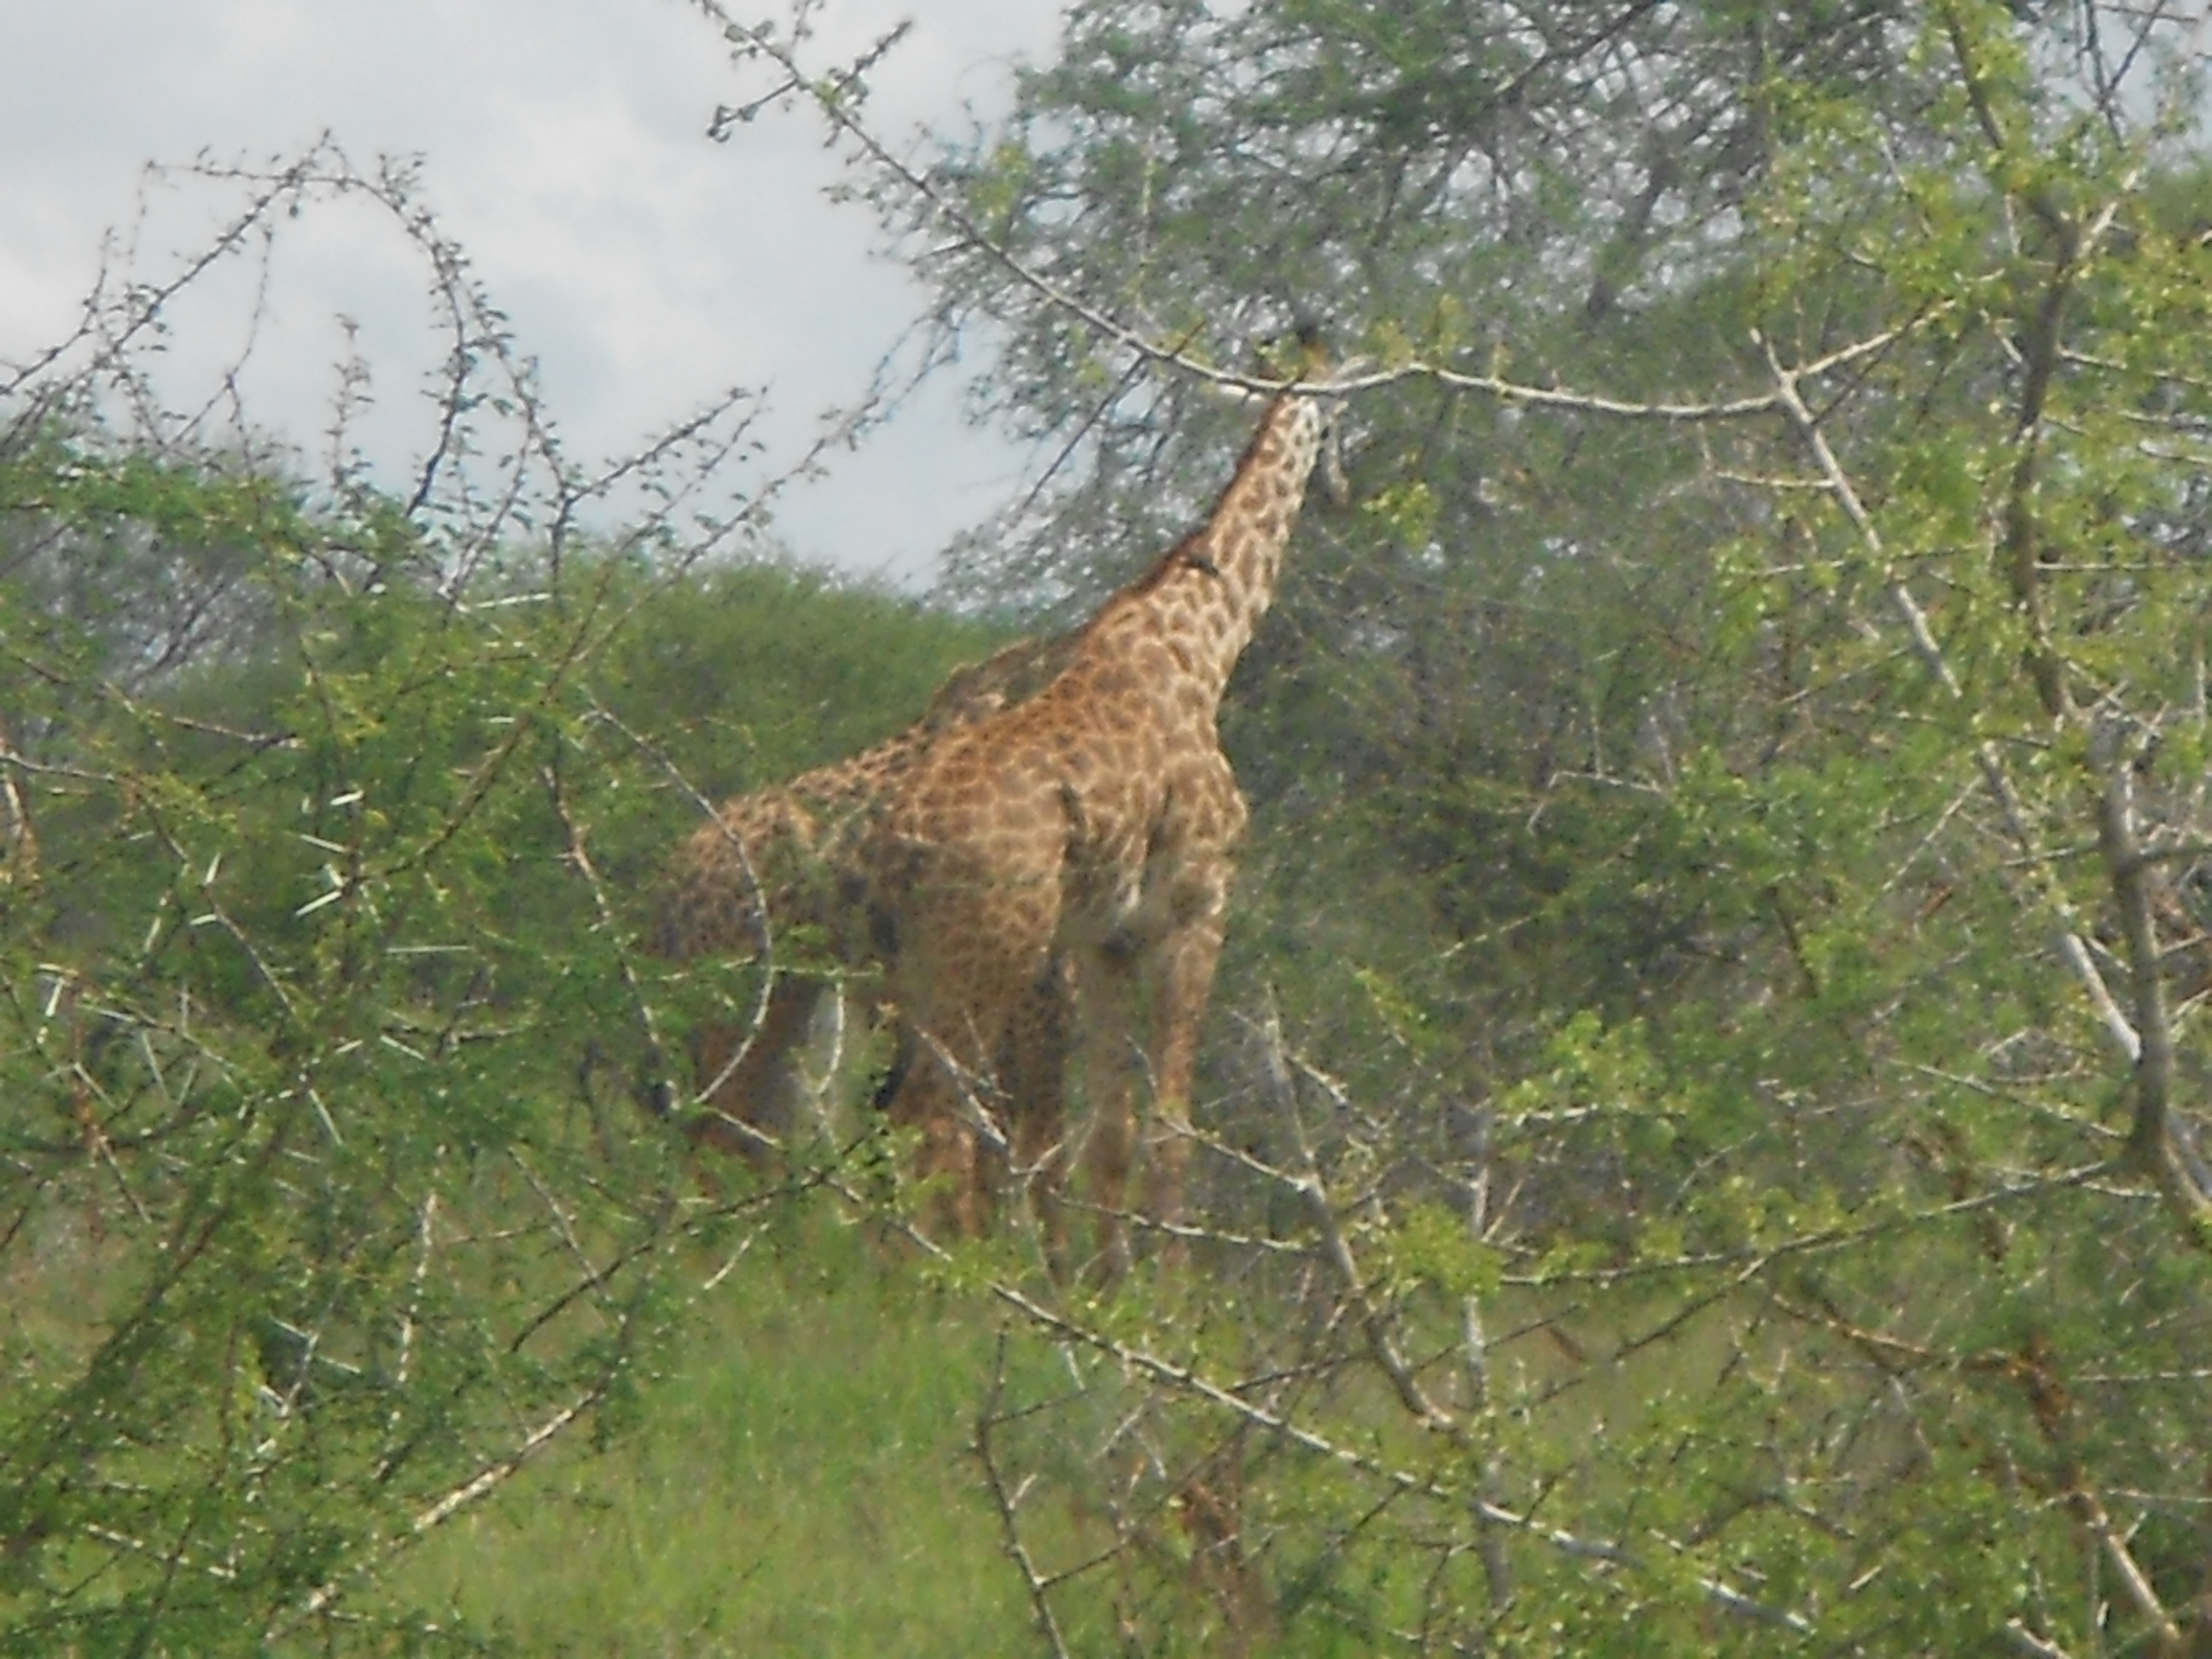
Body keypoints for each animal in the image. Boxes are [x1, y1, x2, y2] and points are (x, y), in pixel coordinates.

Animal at [858, 341, 1353, 1273]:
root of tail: (900, 845)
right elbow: (1170, 1134)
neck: (1201, 646)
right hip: (990, 959)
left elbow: (1112, 1136)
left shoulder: (1107, 941)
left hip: (910, 970)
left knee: (902, 1122)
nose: (1343, 489)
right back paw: (939, 1289)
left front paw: (1105, 1285)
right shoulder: (1195, 912)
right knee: (937, 1121)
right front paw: (1166, 1298)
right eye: (1340, 417)